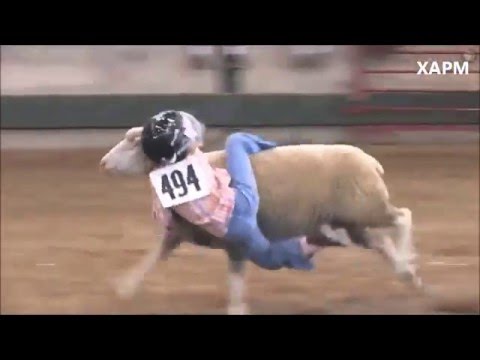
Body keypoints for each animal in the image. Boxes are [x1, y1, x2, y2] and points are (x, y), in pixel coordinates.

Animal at [100, 126, 420, 316]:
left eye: (133, 143)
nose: (103, 163)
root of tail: (371, 162)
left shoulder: (235, 242)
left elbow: (235, 278)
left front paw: (236, 308)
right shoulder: (179, 232)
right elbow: (153, 257)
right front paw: (124, 289)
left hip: (365, 207)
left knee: (403, 216)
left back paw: (408, 261)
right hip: (352, 220)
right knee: (380, 240)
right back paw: (408, 274)